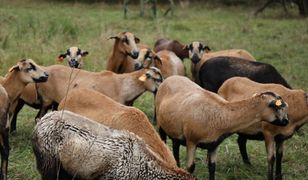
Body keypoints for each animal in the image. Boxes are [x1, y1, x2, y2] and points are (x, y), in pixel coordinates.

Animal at [155, 75, 290, 180]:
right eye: (278, 107)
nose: (286, 121)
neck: (221, 116)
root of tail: (171, 77)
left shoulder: (214, 144)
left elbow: (212, 167)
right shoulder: (191, 141)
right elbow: (190, 168)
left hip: (174, 129)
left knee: (175, 146)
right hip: (161, 124)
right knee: (163, 142)